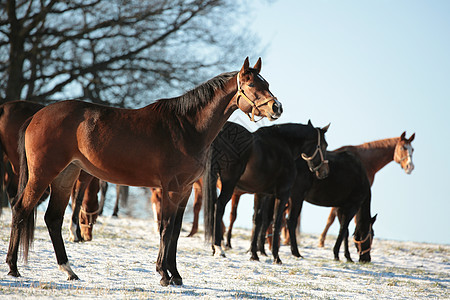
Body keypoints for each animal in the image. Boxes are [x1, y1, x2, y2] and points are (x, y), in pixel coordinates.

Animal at [6, 56, 282, 286]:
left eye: (267, 83)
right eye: (252, 85)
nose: (277, 108)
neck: (187, 128)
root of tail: (36, 116)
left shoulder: (184, 192)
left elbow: (175, 232)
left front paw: (176, 275)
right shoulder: (171, 189)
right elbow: (166, 228)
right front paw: (163, 274)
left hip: (66, 176)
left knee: (52, 218)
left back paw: (68, 270)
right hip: (43, 174)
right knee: (21, 209)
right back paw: (13, 267)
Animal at [202, 120, 328, 264]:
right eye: (325, 145)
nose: (325, 172)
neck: (285, 145)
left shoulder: (262, 194)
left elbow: (257, 220)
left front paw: (254, 255)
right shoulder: (283, 194)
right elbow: (276, 222)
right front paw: (276, 257)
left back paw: (214, 247)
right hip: (229, 184)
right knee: (219, 206)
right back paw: (218, 248)